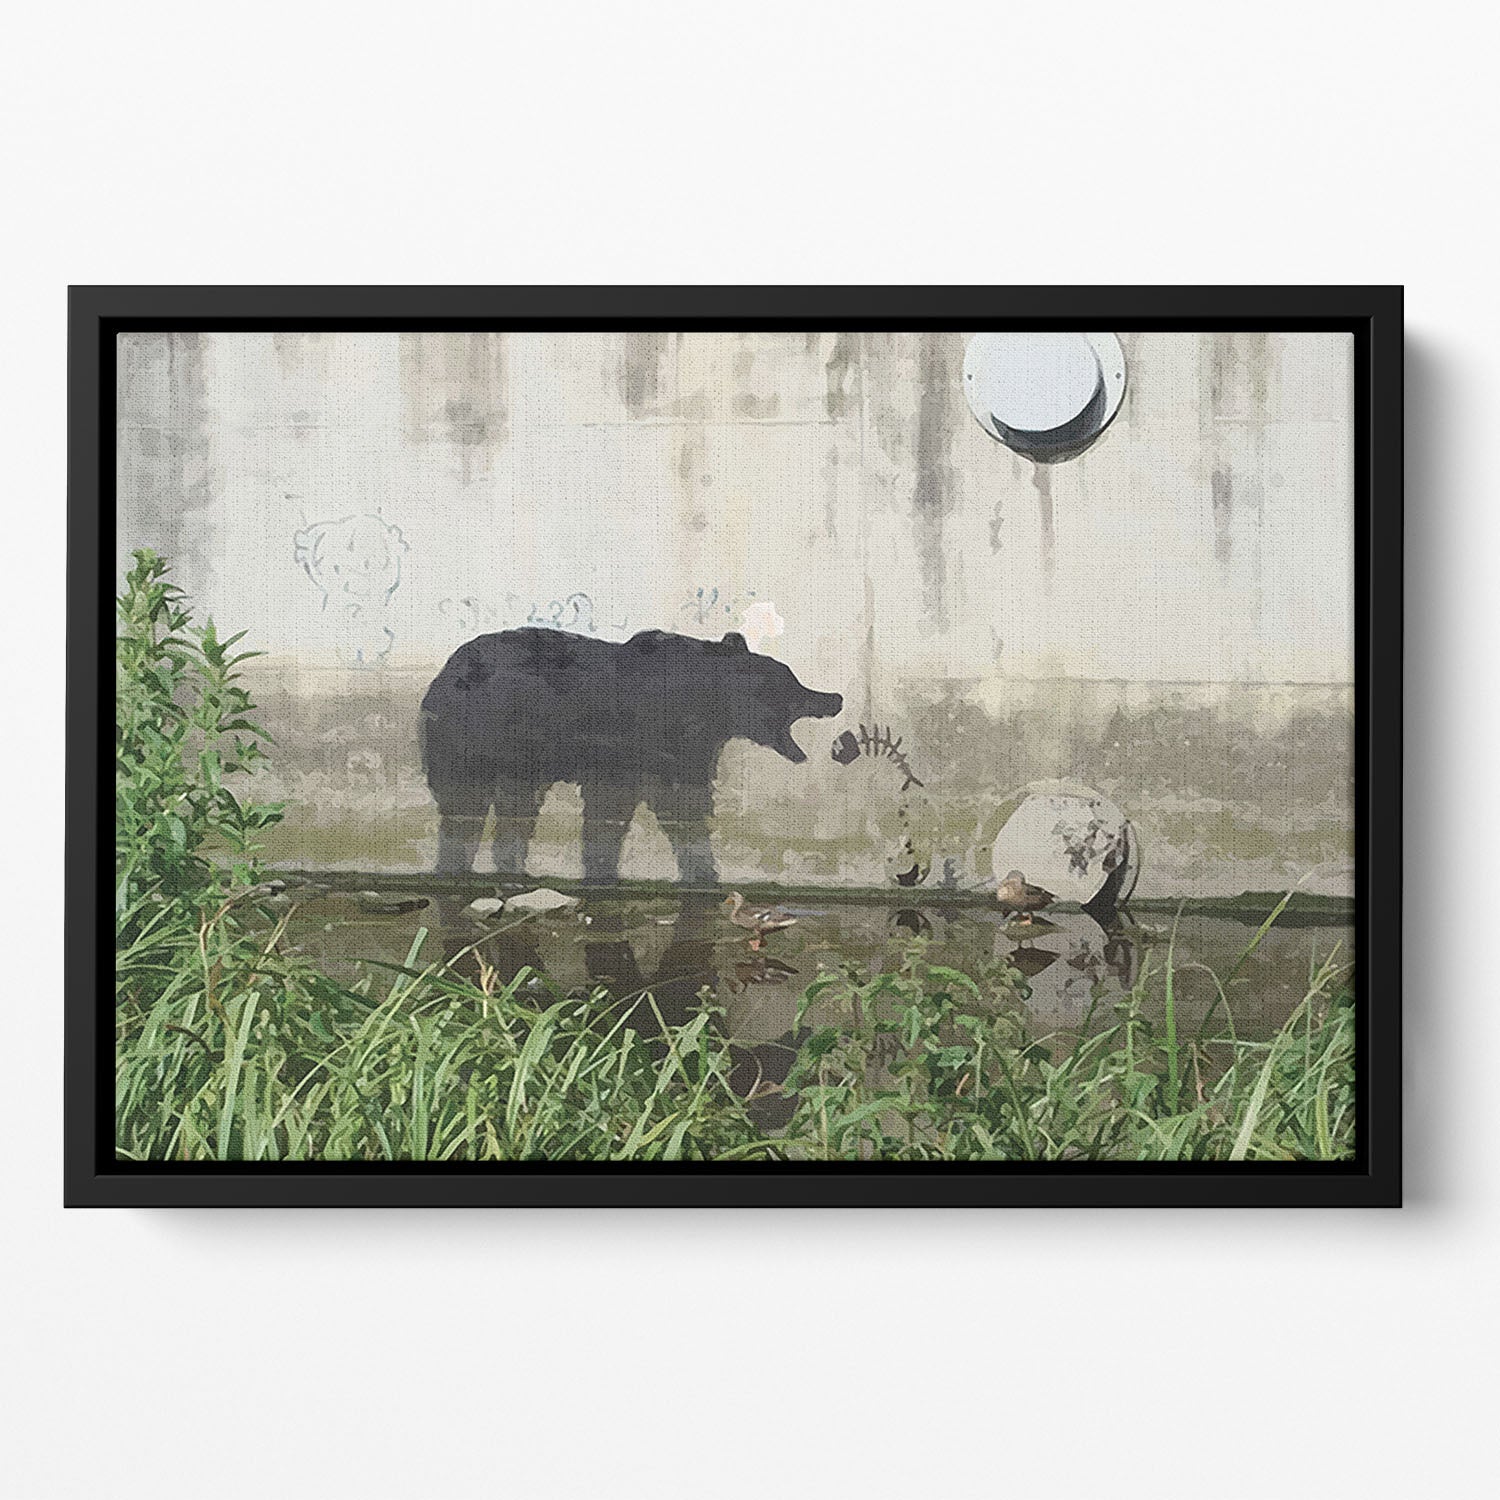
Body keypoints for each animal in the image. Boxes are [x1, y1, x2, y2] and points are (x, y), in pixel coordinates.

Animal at [420, 627, 844, 883]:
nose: (834, 697)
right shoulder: (634, 743)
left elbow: (680, 805)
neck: (709, 706)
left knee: (508, 811)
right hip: (480, 741)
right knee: (465, 807)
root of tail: (440, 677)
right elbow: (628, 808)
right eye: (793, 682)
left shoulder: (679, 750)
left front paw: (700, 870)